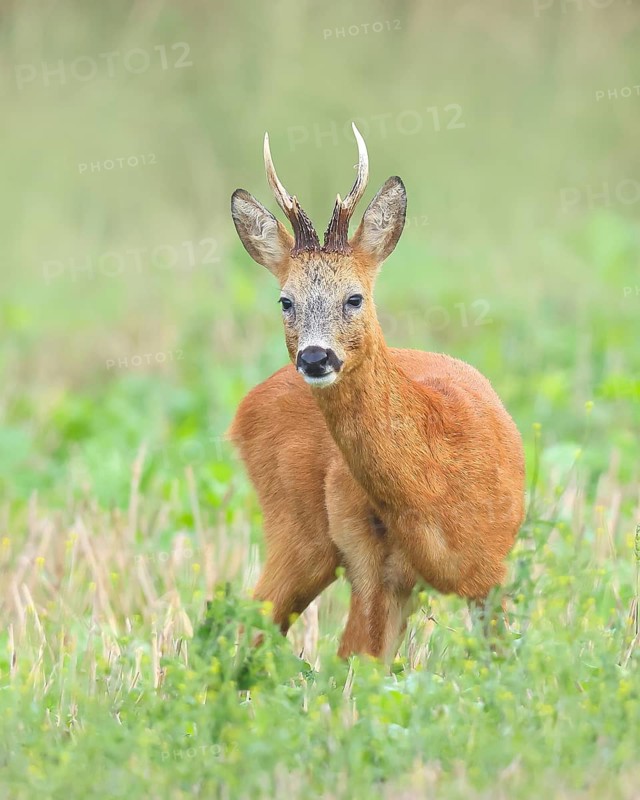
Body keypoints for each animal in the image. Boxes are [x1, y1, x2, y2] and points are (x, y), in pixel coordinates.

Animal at [229, 124, 525, 662]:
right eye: (285, 300)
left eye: (355, 297)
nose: (315, 358)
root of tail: (245, 408)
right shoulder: (369, 563)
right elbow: (357, 668)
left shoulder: (492, 568)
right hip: (299, 531)